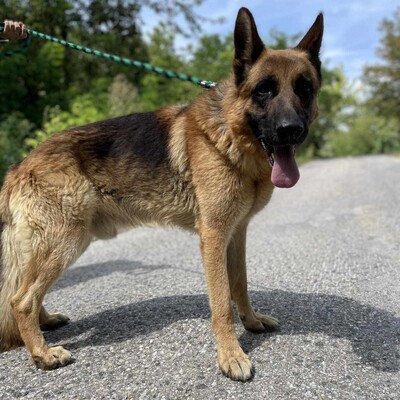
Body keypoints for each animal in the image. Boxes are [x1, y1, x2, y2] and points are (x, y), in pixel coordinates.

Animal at [0, 7, 324, 380]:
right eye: (264, 91)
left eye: (304, 89)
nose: (291, 131)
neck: (230, 134)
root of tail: (18, 166)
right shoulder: (214, 237)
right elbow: (221, 302)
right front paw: (231, 356)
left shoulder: (236, 234)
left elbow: (240, 285)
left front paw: (252, 322)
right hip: (66, 241)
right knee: (20, 299)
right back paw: (42, 353)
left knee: (26, 291)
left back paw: (46, 323)